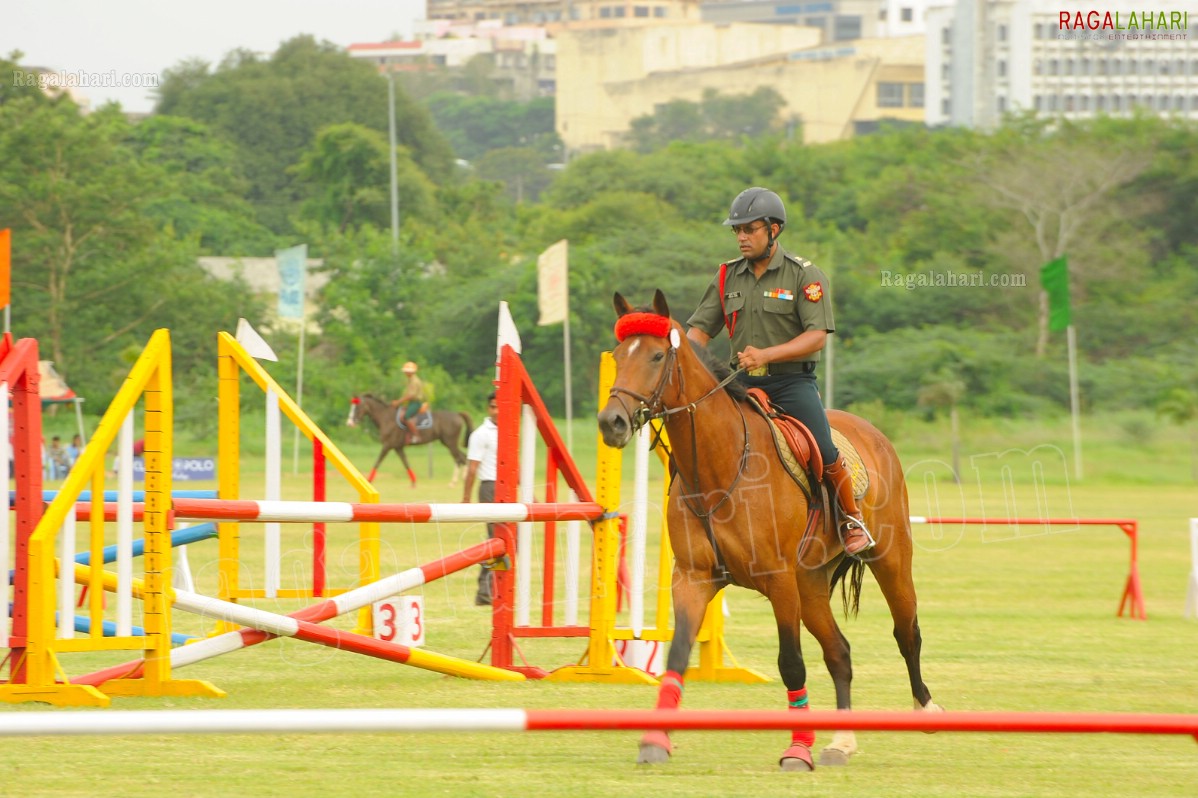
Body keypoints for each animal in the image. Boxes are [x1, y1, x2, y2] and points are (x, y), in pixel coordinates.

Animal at [594, 291, 939, 771]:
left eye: (657, 355)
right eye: (619, 354)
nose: (612, 422)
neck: (721, 466)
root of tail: (873, 433)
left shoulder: (778, 582)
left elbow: (791, 663)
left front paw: (797, 749)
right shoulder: (693, 579)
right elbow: (677, 654)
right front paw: (654, 740)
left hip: (888, 560)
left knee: (907, 633)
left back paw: (926, 710)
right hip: (810, 584)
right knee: (840, 653)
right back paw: (841, 742)